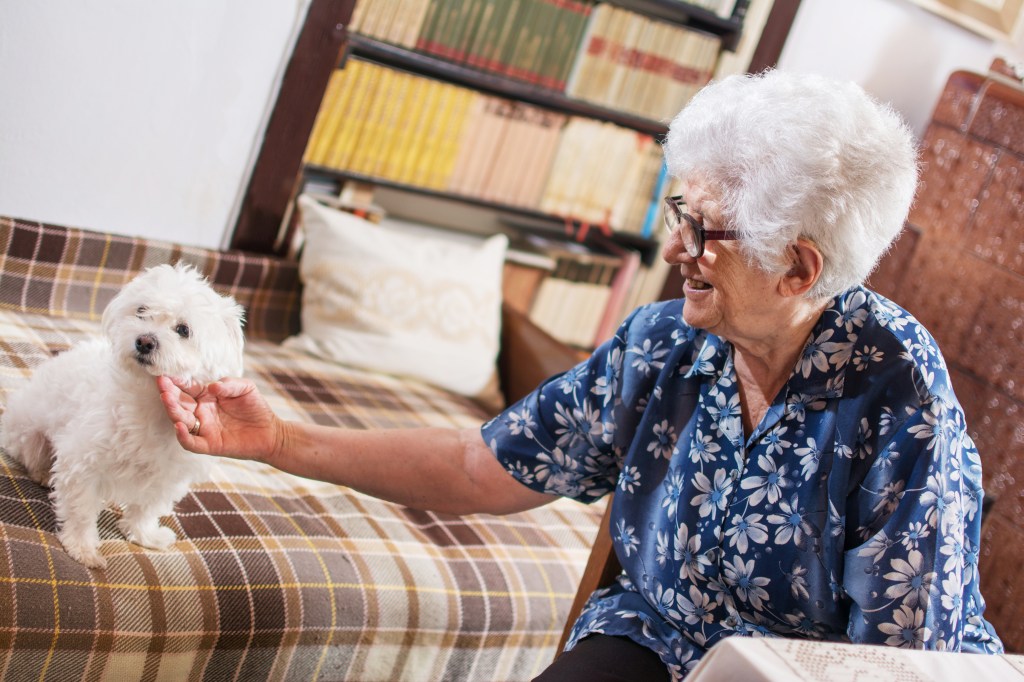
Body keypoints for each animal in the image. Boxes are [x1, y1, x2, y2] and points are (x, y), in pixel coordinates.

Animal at [1, 262, 244, 565]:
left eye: (183, 329)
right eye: (141, 310)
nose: (145, 341)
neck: (150, 401)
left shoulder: (168, 476)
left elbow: (147, 509)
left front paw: (145, 535)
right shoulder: (83, 461)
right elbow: (81, 509)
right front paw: (82, 547)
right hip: (30, 436)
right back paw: (44, 473)